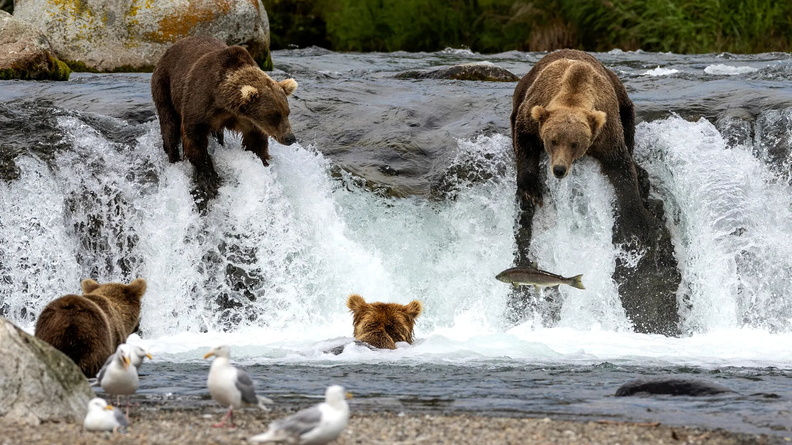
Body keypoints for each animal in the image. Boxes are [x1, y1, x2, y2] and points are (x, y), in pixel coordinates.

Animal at [151, 35, 298, 201]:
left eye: (287, 112)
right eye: (273, 115)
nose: (290, 138)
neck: (223, 102)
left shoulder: (247, 121)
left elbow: (255, 143)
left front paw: (262, 161)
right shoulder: (199, 102)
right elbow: (194, 138)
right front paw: (208, 180)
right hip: (165, 85)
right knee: (169, 124)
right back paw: (173, 158)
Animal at [509, 49, 681, 336]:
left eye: (574, 143)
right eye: (552, 140)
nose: (559, 170)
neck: (573, 92)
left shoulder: (607, 129)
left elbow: (622, 169)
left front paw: (636, 225)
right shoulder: (532, 113)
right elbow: (523, 141)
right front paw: (531, 191)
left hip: (622, 100)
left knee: (631, 129)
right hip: (523, 89)